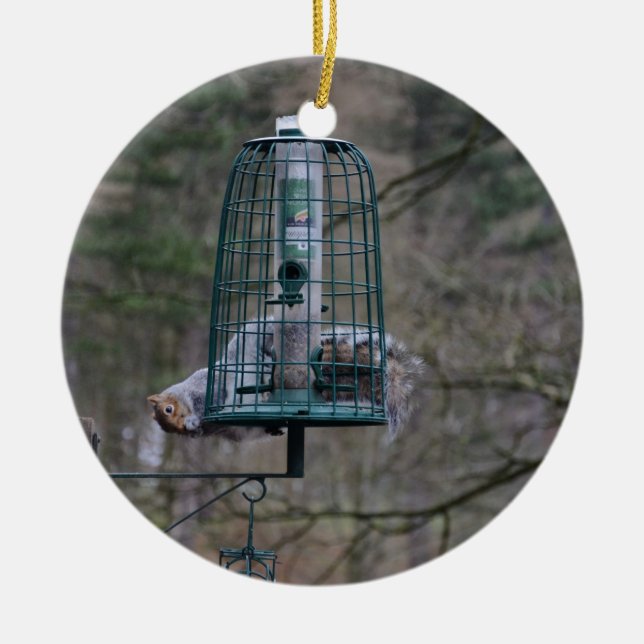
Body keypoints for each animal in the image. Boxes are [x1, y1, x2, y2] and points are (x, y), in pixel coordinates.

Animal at [147, 319, 424, 442]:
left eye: (168, 409)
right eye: (166, 428)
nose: (183, 429)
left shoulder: (206, 389)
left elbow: (205, 401)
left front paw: (193, 420)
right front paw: (195, 429)